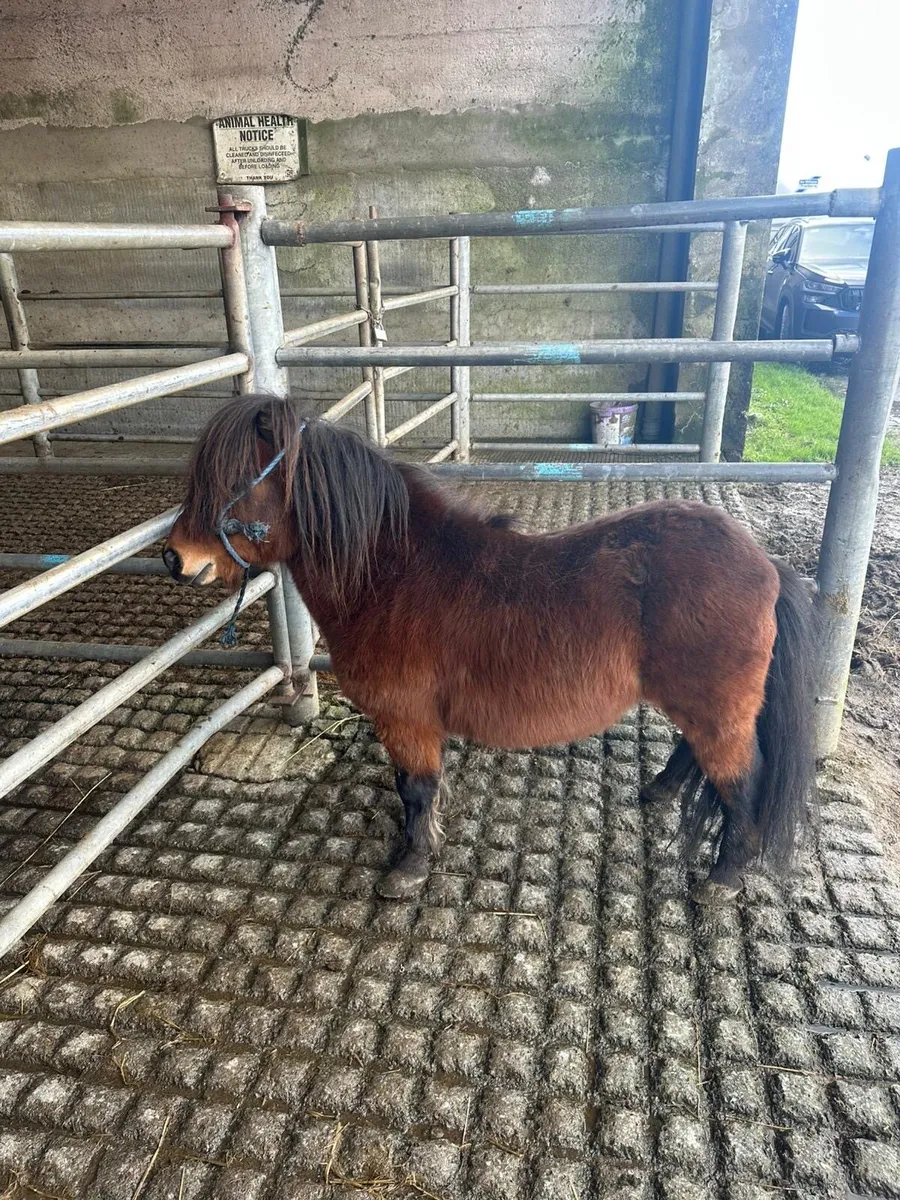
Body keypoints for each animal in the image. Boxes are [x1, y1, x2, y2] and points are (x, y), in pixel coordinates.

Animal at [163, 393, 817, 905]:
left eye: (233, 482)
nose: (174, 559)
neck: (393, 575)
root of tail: (766, 564)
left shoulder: (407, 720)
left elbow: (417, 790)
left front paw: (409, 867)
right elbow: (413, 789)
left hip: (719, 709)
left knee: (740, 782)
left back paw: (723, 879)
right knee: (694, 750)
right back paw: (659, 791)